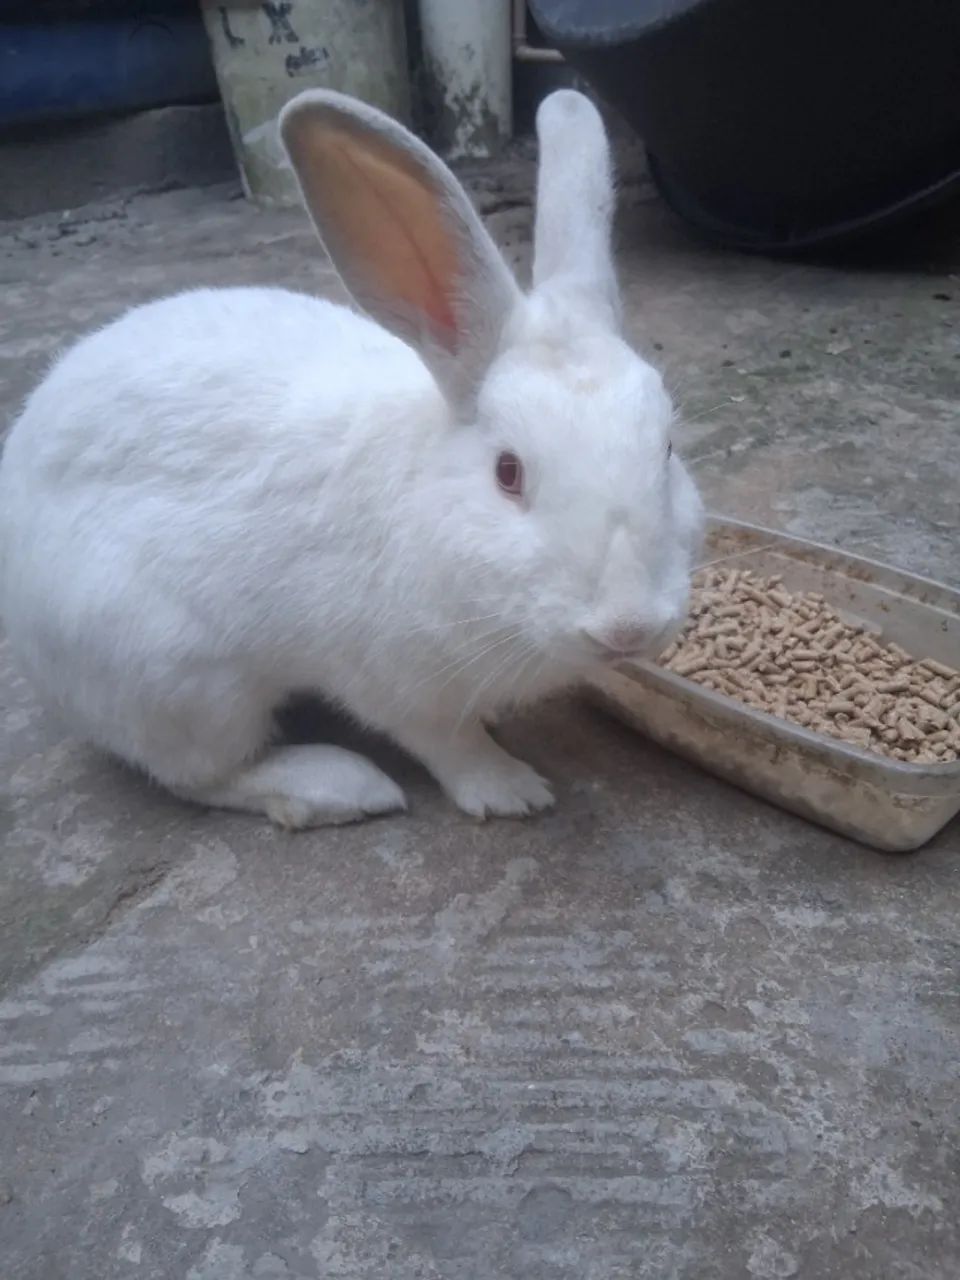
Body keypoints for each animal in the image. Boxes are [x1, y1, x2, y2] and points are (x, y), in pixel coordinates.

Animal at [0, 89, 703, 828]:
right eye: (508, 473)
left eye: (667, 449)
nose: (628, 627)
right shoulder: (392, 681)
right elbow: (449, 744)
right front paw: (513, 790)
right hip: (178, 682)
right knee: (203, 776)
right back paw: (341, 787)